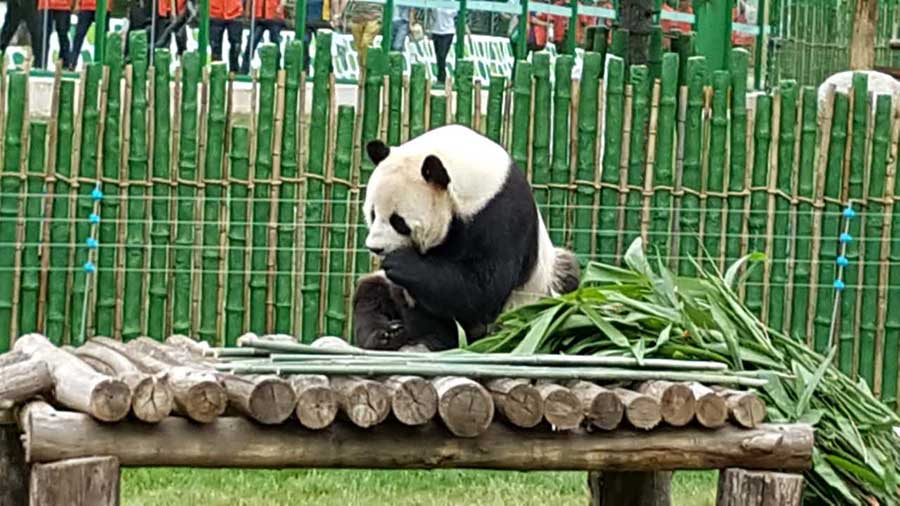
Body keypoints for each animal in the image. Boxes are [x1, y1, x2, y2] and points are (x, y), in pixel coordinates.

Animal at [352, 124, 581, 351]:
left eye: (398, 222)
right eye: (372, 213)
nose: (375, 248)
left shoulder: (501, 215)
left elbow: (482, 289)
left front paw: (401, 263)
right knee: (370, 293)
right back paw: (387, 334)